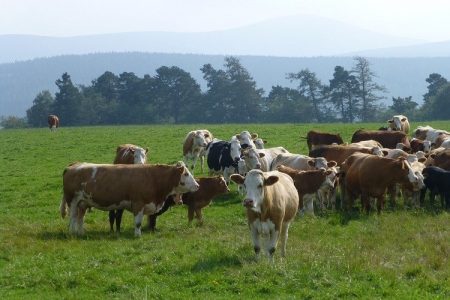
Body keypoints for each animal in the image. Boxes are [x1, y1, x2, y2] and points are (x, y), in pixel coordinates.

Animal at [59, 162, 199, 237]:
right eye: (186, 174)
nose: (197, 185)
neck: (153, 178)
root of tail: (74, 165)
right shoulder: (138, 203)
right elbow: (138, 223)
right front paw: (138, 235)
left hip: (83, 202)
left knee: (80, 218)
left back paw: (80, 232)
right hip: (72, 200)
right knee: (73, 217)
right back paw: (72, 233)